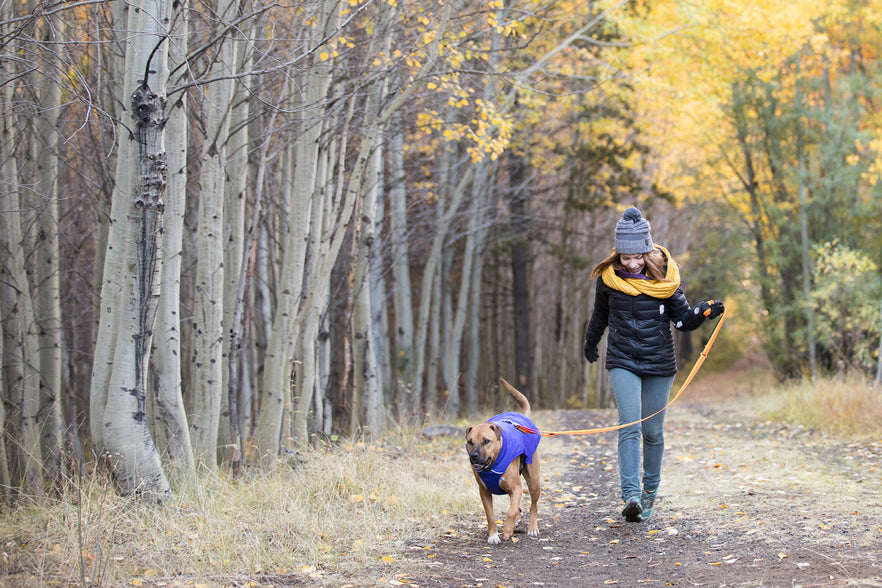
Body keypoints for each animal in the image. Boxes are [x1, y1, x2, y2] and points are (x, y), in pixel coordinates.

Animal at [464, 378, 540, 544]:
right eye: (470, 442)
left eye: (486, 441)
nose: (474, 456)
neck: (492, 464)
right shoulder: (484, 492)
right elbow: (490, 515)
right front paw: (493, 535)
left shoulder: (517, 488)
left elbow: (511, 510)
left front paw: (507, 529)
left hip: (534, 481)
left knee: (533, 505)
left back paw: (532, 527)